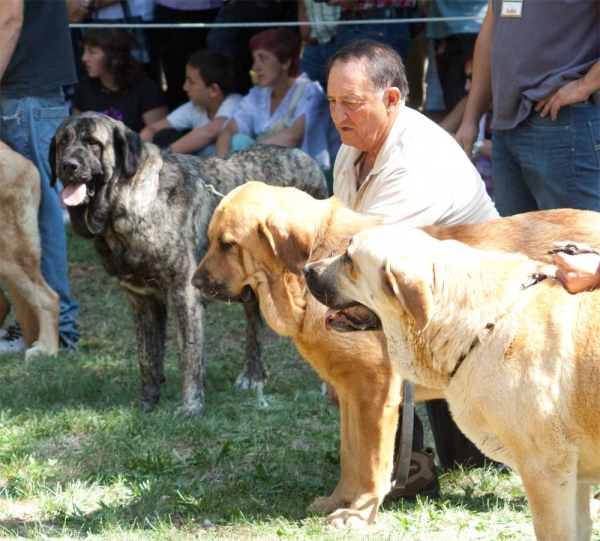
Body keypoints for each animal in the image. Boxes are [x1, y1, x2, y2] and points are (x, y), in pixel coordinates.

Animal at [48, 109, 326, 414]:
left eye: (93, 143)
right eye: (63, 143)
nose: (68, 165)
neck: (130, 203)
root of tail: (304, 156)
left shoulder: (184, 294)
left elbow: (188, 356)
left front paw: (191, 407)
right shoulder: (141, 299)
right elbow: (147, 357)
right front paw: (146, 403)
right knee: (254, 323)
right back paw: (253, 374)